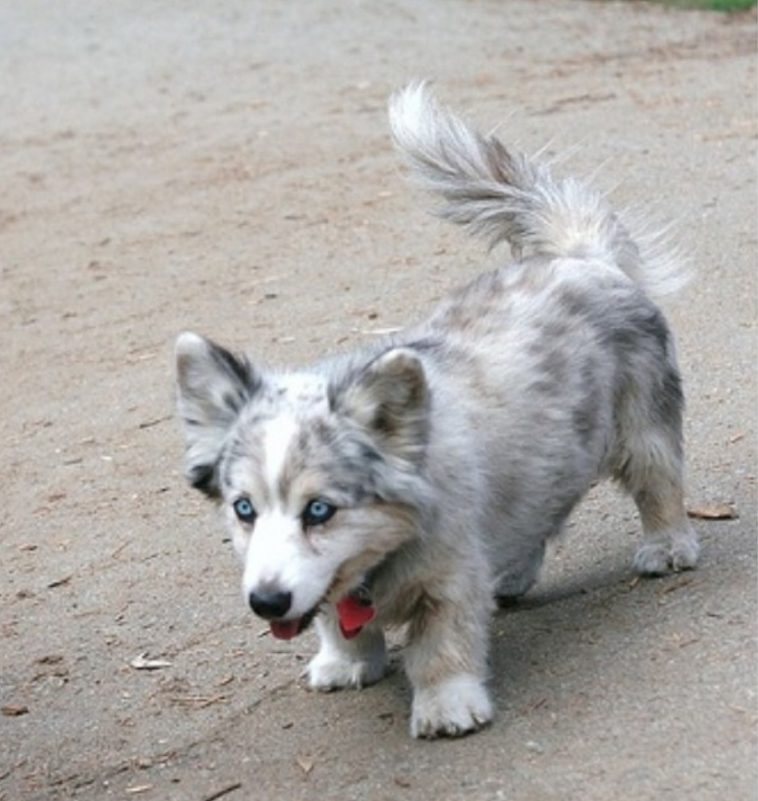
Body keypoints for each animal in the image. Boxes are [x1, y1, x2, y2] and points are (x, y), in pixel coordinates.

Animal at [174, 83, 700, 736]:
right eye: (243, 509)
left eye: (320, 510)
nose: (266, 602)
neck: (377, 562)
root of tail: (583, 256)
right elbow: (340, 626)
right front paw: (347, 663)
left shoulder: (448, 581)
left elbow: (441, 646)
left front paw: (447, 706)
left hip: (642, 432)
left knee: (659, 485)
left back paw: (667, 548)